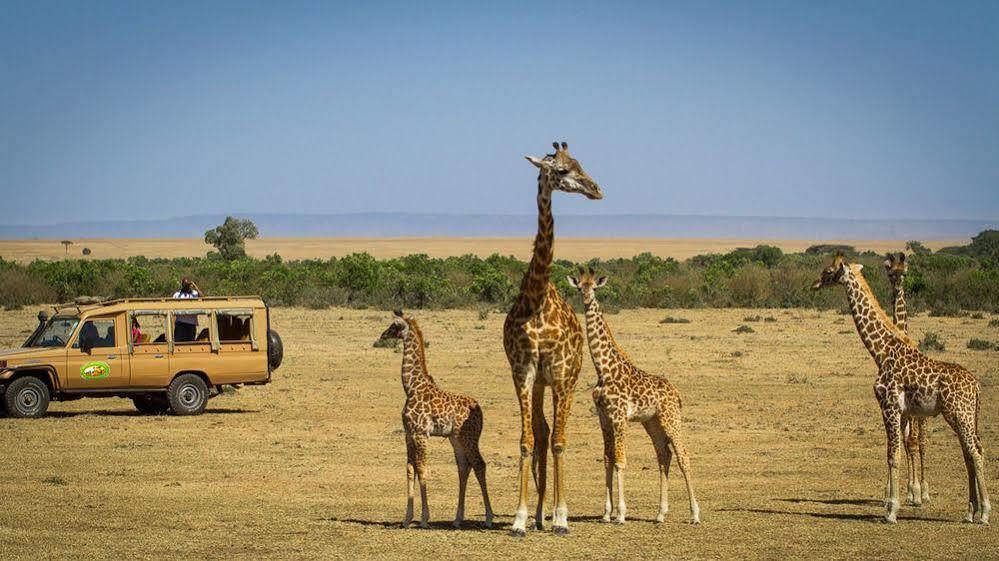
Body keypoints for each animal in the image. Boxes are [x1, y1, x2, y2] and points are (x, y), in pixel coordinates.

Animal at [380, 310, 494, 528]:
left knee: (479, 464)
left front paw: (424, 519)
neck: (411, 387)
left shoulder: (421, 433)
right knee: (463, 467)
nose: (382, 335)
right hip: (455, 438)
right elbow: (410, 469)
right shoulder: (408, 434)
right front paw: (407, 519)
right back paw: (457, 519)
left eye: (394, 326)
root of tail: (480, 411)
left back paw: (489, 519)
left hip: (469, 438)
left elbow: (422, 469)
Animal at [504, 140, 604, 532]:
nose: (596, 189)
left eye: (580, 163)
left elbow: (561, 441)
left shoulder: (560, 371)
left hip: (570, 378)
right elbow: (527, 440)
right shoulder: (524, 371)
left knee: (558, 435)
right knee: (543, 433)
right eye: (561, 170)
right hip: (542, 383)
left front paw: (562, 516)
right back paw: (538, 515)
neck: (535, 297)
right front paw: (520, 519)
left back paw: (554, 515)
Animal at [572, 266, 704, 524]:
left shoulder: (619, 416)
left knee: (683, 455)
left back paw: (694, 514)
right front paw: (606, 513)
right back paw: (660, 514)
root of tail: (677, 393)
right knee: (664, 456)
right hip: (652, 422)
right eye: (579, 287)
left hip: (671, 418)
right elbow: (607, 459)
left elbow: (620, 461)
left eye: (594, 288)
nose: (586, 299)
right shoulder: (603, 417)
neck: (603, 368)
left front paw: (621, 514)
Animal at [812, 252, 992, 524]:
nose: (815, 283)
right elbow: (898, 451)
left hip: (959, 414)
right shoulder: (903, 411)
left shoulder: (889, 406)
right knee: (969, 453)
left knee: (976, 452)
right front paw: (894, 502)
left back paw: (984, 513)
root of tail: (977, 387)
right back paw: (970, 512)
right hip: (964, 416)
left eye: (830, 271)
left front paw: (892, 510)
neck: (881, 351)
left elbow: (893, 455)